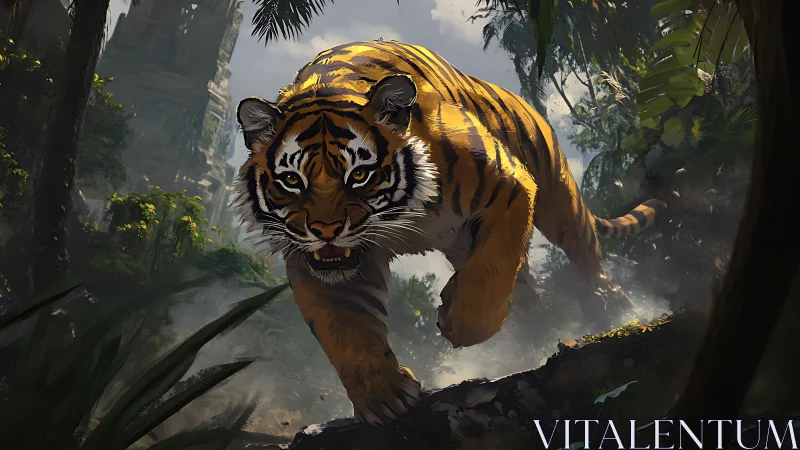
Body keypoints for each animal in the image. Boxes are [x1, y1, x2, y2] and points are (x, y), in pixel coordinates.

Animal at [234, 40, 666, 426]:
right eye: (292, 180)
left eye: (359, 174)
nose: (325, 229)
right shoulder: (317, 261)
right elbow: (346, 328)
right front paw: (382, 396)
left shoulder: (511, 186)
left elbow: (487, 284)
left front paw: (453, 319)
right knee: (524, 288)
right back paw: (535, 336)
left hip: (555, 192)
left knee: (581, 251)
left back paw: (610, 307)